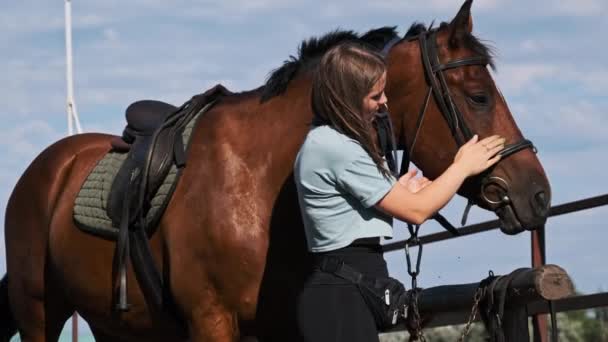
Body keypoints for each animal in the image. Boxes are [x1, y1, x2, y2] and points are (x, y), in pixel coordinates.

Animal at [1, 1, 552, 340]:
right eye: (478, 97)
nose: (539, 194)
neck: (259, 182)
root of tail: (50, 166)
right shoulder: (213, 322)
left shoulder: (281, 322)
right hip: (38, 310)